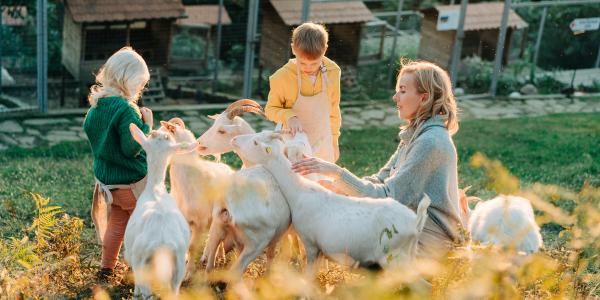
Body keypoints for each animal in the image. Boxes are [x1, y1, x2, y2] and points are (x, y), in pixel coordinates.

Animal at [230, 132, 432, 288]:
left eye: (256, 142)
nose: (234, 139)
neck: (299, 191)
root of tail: (416, 222)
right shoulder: (320, 248)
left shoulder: (310, 243)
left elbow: (307, 274)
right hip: (409, 256)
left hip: (394, 258)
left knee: (423, 287)